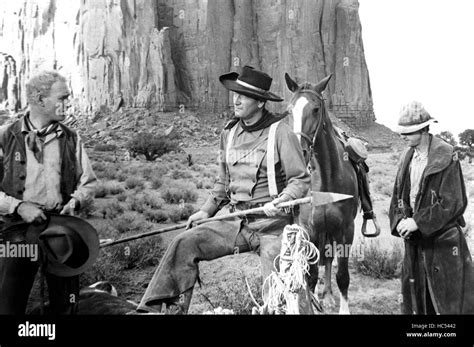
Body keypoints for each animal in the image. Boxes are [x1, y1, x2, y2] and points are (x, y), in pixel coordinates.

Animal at [284, 73, 358, 316]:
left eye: (316, 109)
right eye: (289, 110)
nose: (297, 152)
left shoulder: (346, 229)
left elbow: (342, 275)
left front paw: (342, 307)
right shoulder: (311, 229)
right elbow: (311, 275)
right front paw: (313, 302)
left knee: (328, 259)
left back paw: (327, 296)